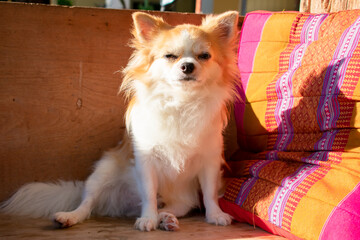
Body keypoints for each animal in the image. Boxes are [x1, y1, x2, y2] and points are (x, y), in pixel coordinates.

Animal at [2, 10, 240, 232]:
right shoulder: (146, 160)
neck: (181, 100)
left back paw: (166, 218)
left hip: (184, 198)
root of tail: (123, 207)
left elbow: (209, 193)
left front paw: (215, 215)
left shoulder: (210, 161)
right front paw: (147, 219)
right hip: (102, 172)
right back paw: (70, 216)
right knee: (87, 204)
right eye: (170, 56)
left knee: (172, 206)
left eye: (205, 56)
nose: (188, 66)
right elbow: (149, 193)